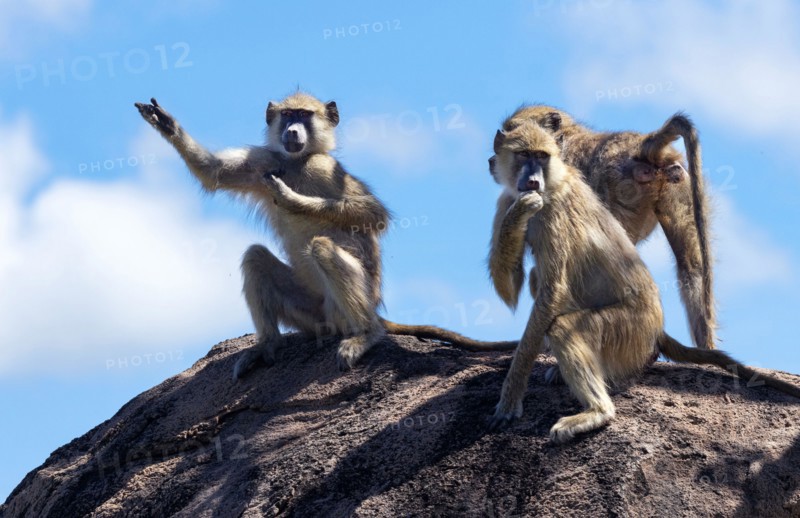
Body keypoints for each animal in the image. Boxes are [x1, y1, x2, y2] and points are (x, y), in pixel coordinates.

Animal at [134, 94, 515, 380]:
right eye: (287, 115)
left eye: (305, 116)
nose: (292, 130)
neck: (298, 162)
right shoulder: (262, 161)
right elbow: (212, 172)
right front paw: (164, 122)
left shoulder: (326, 170)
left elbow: (374, 215)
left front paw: (292, 199)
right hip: (312, 314)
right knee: (255, 257)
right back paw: (268, 346)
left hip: (343, 308)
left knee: (321, 248)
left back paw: (366, 335)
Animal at [488, 106, 715, 352]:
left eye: (512, 133)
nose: (492, 160)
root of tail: (641, 145)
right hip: (678, 181)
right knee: (691, 267)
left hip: (619, 186)